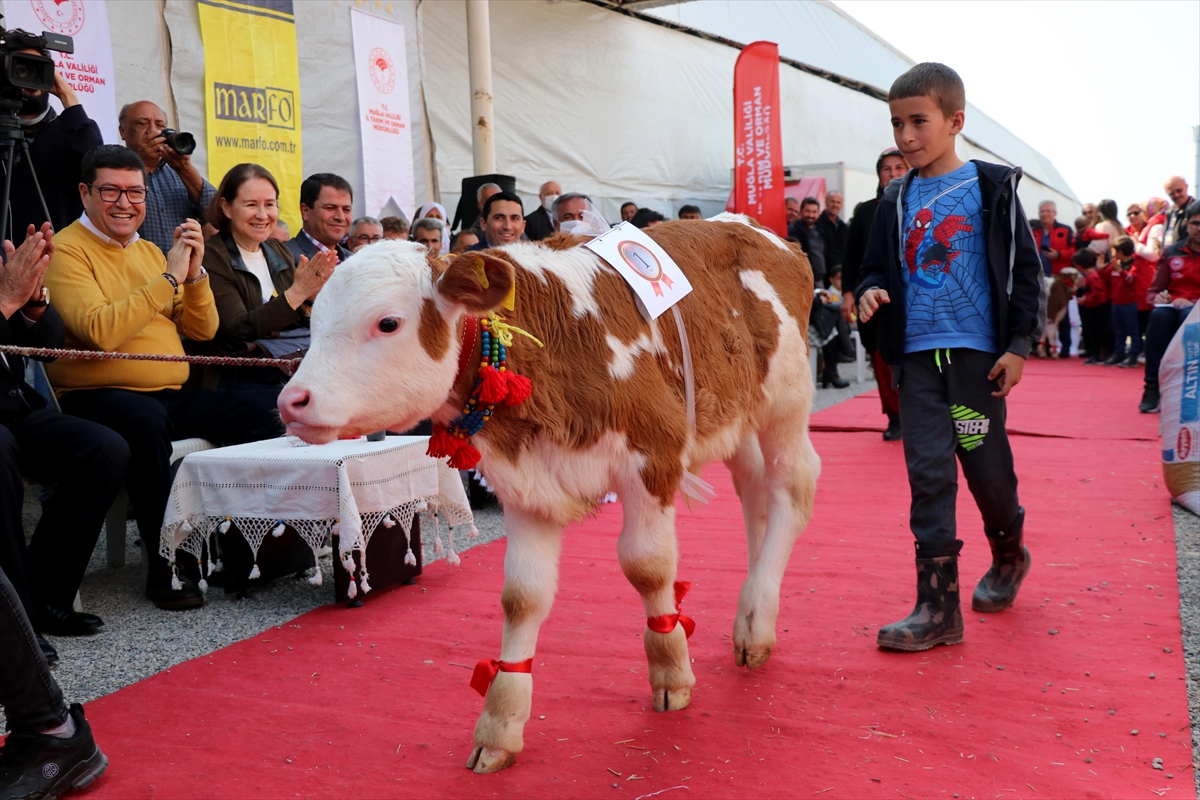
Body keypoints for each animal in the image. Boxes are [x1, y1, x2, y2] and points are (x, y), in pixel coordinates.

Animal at [278, 215, 825, 772]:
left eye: (388, 323)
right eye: (315, 319)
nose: (291, 401)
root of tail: (753, 227)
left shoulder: (653, 455)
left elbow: (647, 566)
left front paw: (671, 669)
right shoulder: (525, 484)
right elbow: (522, 597)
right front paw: (500, 723)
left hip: (787, 400)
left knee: (793, 489)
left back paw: (757, 618)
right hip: (739, 414)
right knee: (755, 492)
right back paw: (753, 611)